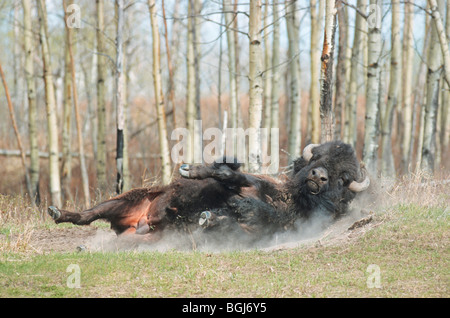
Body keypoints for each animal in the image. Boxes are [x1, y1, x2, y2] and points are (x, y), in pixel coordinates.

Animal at [46, 140, 370, 247]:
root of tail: (142, 224)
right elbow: (231, 175)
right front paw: (190, 170)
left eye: (343, 179)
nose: (318, 176)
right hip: (128, 199)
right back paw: (57, 212)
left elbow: (238, 217)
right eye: (318, 159)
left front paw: (211, 217)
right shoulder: (251, 183)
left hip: (144, 238)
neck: (289, 199)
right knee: (89, 215)